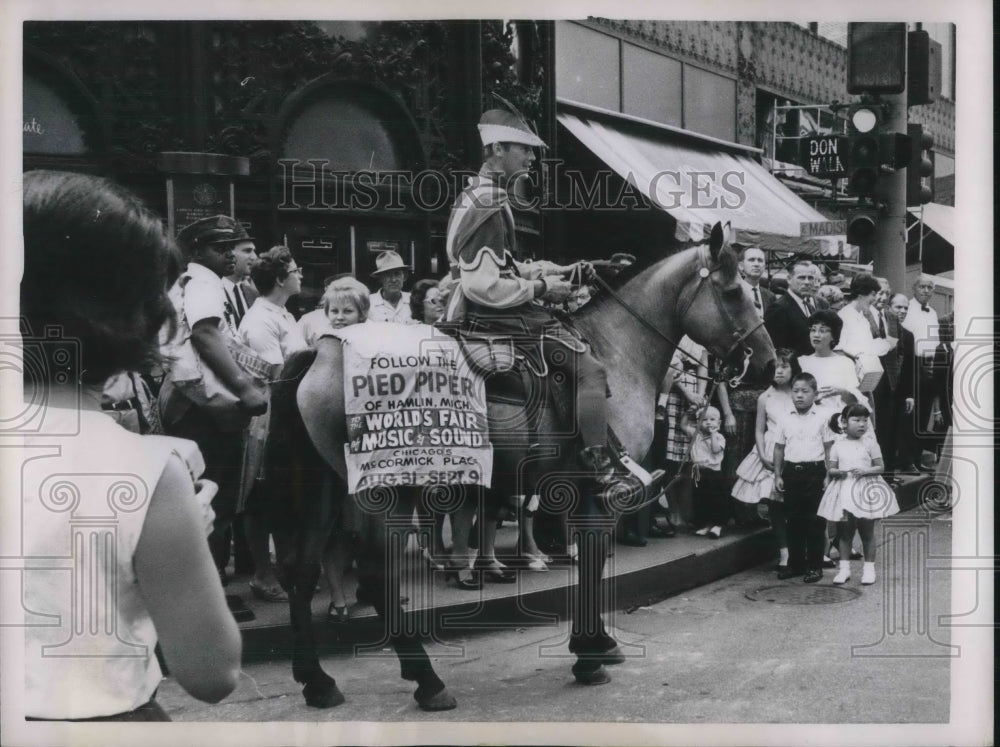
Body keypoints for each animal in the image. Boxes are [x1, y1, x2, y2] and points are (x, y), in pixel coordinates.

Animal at [264, 219, 772, 712]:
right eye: (734, 293)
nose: (767, 365)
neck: (617, 349)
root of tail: (323, 350)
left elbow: (589, 565)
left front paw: (598, 644)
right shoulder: (599, 493)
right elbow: (591, 563)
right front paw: (589, 655)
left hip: (326, 487)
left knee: (303, 570)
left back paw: (317, 681)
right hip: (386, 490)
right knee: (373, 575)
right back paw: (427, 681)